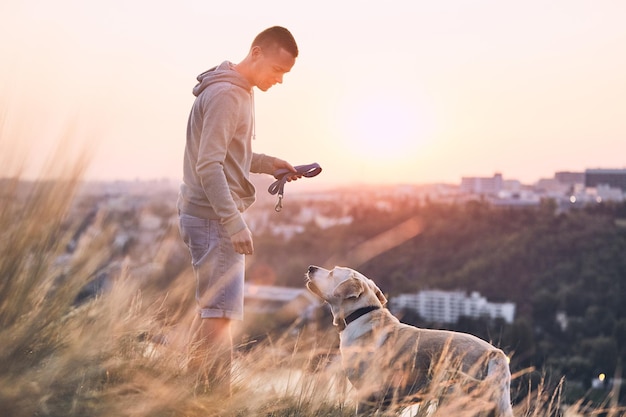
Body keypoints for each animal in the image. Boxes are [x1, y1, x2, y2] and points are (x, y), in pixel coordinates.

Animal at [304, 264, 512, 414]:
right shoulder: (388, 401)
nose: (311, 267)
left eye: (332, 273)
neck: (359, 315)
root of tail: (495, 352)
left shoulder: (367, 394)